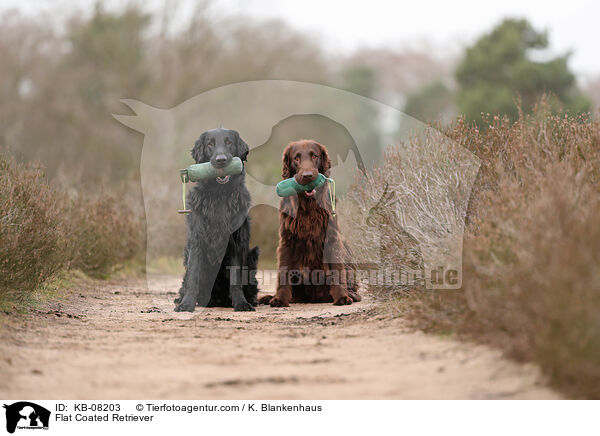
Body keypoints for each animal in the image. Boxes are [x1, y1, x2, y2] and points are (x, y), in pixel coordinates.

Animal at [173, 127, 258, 312]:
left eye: (229, 142)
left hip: (253, 254)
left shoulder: (236, 241)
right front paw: (187, 304)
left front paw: (241, 303)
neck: (219, 195)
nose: (221, 160)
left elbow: (236, 277)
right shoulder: (197, 240)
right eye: (210, 144)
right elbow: (193, 276)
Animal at [258, 140, 360, 306]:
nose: (308, 176)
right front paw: (279, 298)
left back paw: (350, 294)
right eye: (296, 158)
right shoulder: (287, 240)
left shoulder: (332, 239)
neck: (308, 205)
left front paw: (342, 296)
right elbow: (283, 272)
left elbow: (337, 269)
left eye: (314, 156)